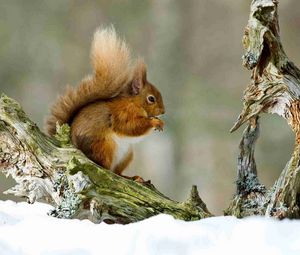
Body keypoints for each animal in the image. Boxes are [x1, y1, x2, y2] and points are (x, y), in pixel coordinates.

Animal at [45, 26, 165, 176]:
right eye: (151, 99)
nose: (163, 111)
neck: (134, 102)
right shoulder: (123, 113)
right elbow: (130, 126)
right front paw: (155, 122)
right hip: (104, 146)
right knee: (103, 164)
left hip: (127, 154)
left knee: (117, 171)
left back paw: (132, 177)